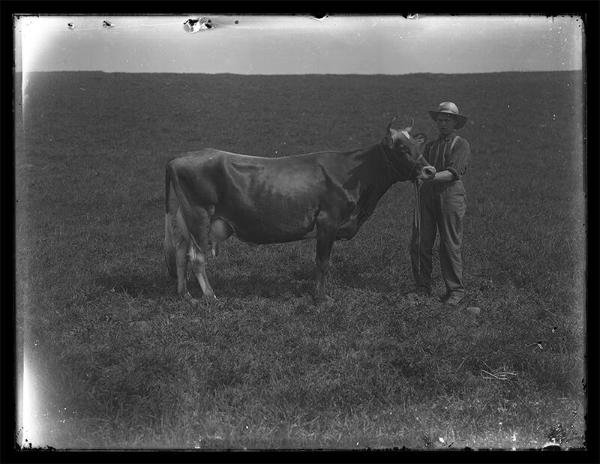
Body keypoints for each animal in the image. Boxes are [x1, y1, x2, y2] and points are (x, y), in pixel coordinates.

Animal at [164, 121, 436, 306]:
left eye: (418, 145)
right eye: (401, 148)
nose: (430, 170)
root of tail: (180, 157)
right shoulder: (328, 221)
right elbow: (322, 262)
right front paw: (322, 298)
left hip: (185, 217)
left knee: (180, 254)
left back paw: (185, 295)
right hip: (199, 216)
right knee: (197, 257)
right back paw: (210, 296)